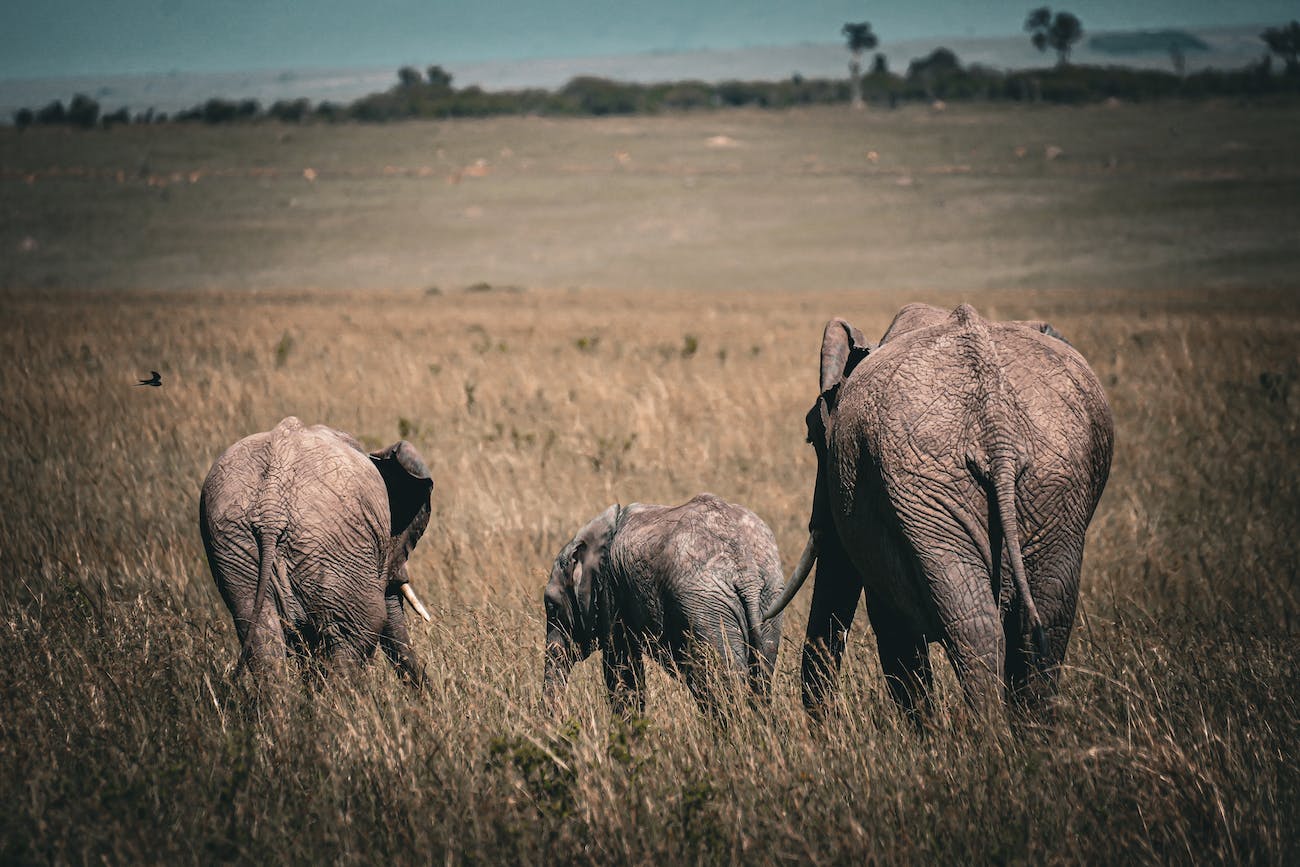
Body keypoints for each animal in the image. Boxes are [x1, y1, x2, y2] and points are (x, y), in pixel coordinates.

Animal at [540, 493, 780, 717]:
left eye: (551, 607)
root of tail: (746, 571)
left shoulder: (611, 593)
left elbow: (622, 671)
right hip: (767, 599)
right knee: (759, 680)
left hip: (707, 610)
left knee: (720, 688)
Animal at [764, 305, 1112, 727]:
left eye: (813, 436)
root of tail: (995, 422)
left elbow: (889, 625)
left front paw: (926, 734)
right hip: (1038, 484)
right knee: (1040, 622)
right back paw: (1026, 736)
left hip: (956, 485)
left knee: (983, 626)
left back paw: (991, 738)